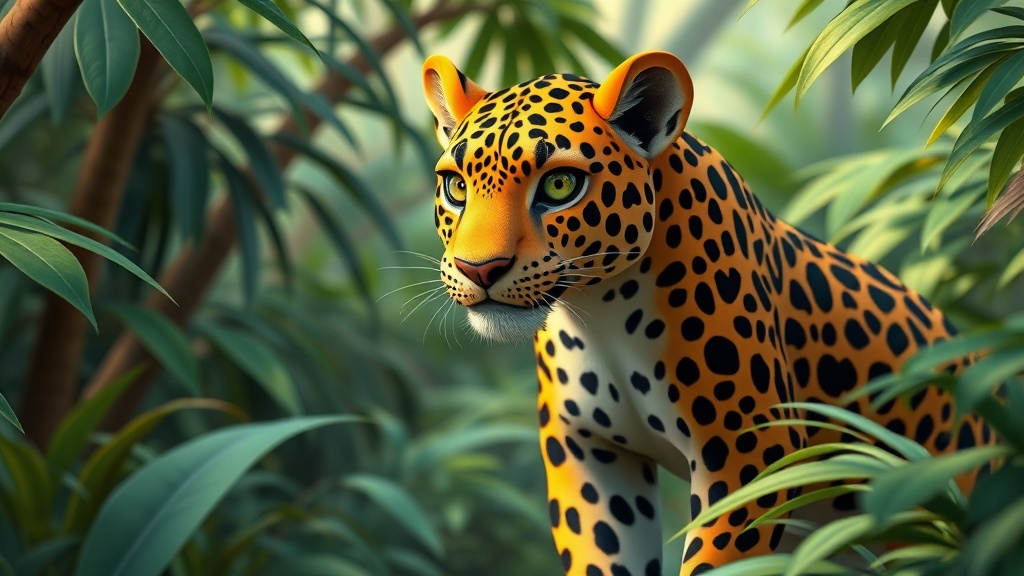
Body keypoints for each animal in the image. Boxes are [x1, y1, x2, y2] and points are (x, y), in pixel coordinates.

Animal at [419, 51, 993, 575]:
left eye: (560, 185)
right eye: (457, 186)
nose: (479, 269)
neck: (601, 312)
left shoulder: (750, 449)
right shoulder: (588, 453)